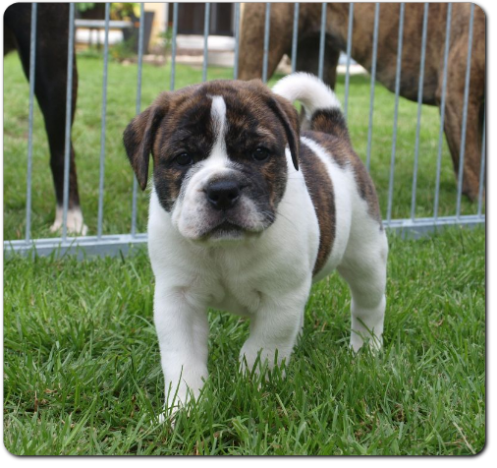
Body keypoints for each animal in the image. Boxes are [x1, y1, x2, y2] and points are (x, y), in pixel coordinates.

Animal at [122, 72, 386, 420]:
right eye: (183, 158)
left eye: (260, 153)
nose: (222, 189)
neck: (226, 249)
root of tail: (331, 135)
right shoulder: (177, 298)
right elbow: (182, 360)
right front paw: (184, 410)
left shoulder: (280, 299)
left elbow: (262, 349)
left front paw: (253, 392)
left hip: (365, 254)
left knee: (369, 305)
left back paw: (366, 351)